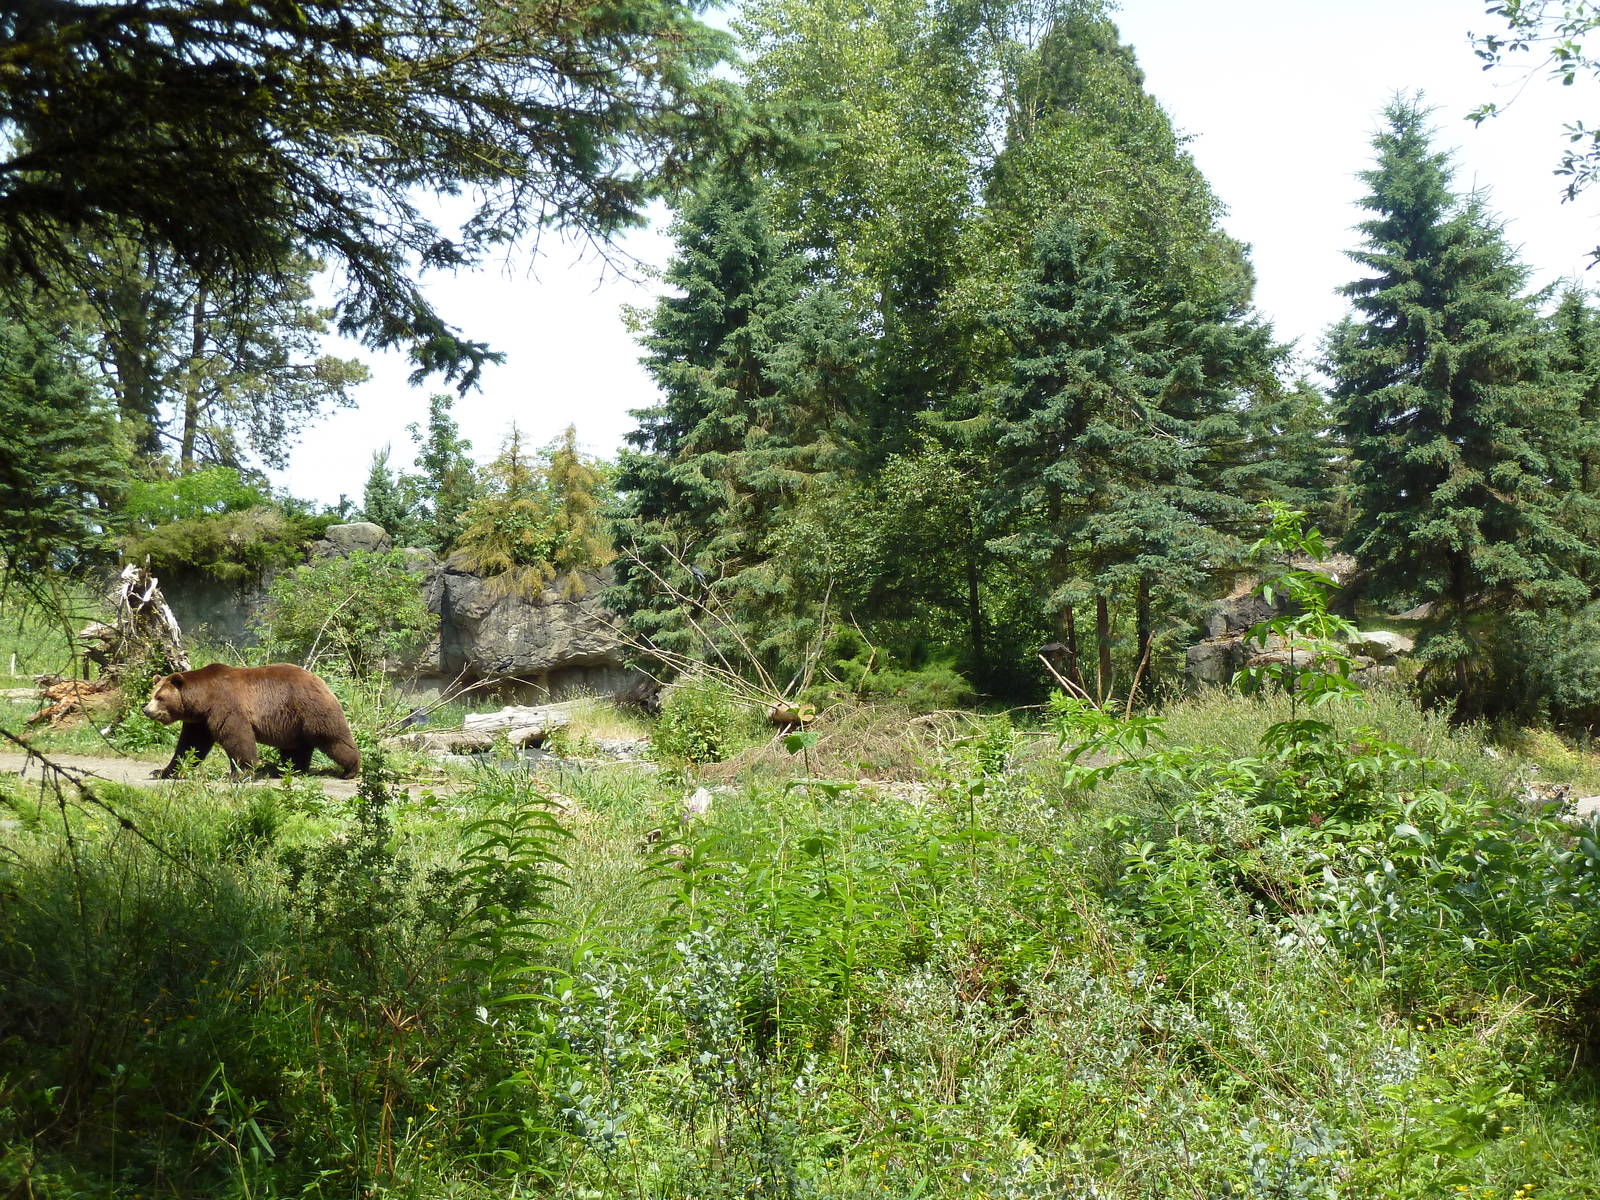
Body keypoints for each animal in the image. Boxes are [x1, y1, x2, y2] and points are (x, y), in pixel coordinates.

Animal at [142, 663, 361, 779]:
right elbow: (190, 745)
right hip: (292, 723)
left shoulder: (226, 706)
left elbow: (237, 737)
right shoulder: (199, 721)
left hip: (311, 710)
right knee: (296, 748)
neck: (202, 700)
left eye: (160, 698)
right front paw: (161, 771)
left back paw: (350, 770)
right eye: (152, 694)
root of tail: (321, 681)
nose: (146, 710)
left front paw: (240, 772)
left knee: (333, 738)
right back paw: (291, 770)